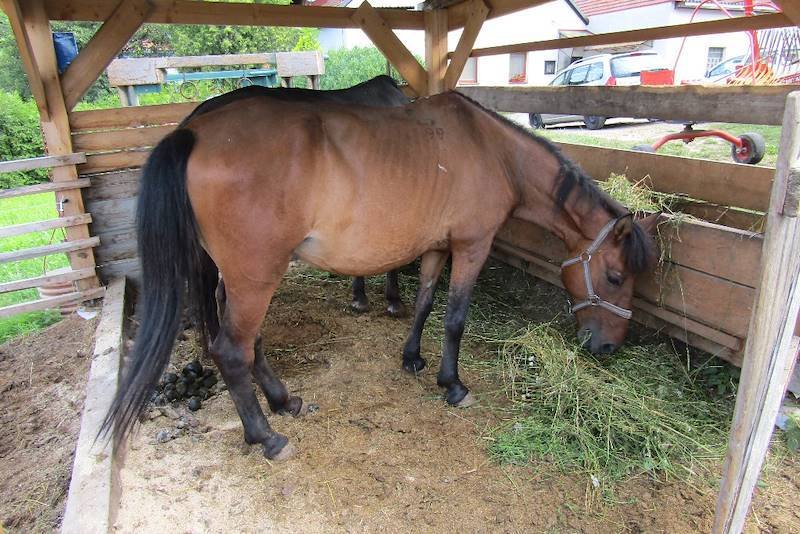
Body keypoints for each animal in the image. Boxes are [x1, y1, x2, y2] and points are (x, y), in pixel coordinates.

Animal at [104, 91, 656, 460]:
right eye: (613, 277)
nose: (609, 346)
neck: (492, 150)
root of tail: (193, 132)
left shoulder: (436, 247)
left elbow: (425, 303)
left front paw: (413, 358)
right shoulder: (472, 247)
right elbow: (455, 319)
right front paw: (454, 385)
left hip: (238, 278)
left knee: (247, 342)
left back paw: (283, 402)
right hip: (255, 276)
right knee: (232, 351)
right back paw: (267, 437)